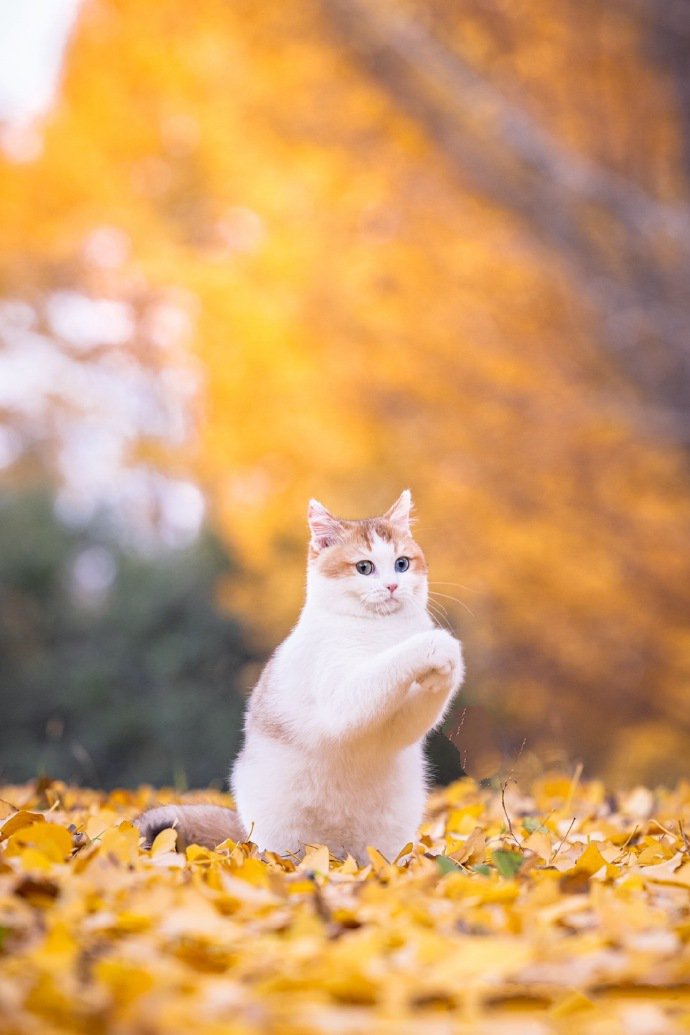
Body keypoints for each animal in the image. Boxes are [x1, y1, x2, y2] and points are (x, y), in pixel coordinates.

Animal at [136, 488, 463, 861]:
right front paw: (435, 647)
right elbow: (391, 663)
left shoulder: (398, 725)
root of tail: (338, 857)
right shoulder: (345, 702)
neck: (382, 628)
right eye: (364, 567)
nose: (393, 586)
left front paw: (442, 675)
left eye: (402, 564)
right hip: (283, 845)